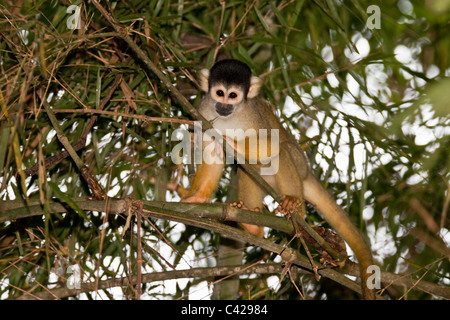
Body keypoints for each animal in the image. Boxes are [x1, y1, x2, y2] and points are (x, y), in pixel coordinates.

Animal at [181, 58, 374, 298]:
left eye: (233, 95)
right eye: (219, 93)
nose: (224, 106)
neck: (230, 117)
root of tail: (306, 173)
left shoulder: (253, 115)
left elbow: (271, 144)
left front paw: (231, 142)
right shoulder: (203, 112)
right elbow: (212, 154)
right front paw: (198, 198)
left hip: (298, 165)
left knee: (282, 150)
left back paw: (296, 206)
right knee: (247, 170)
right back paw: (253, 227)